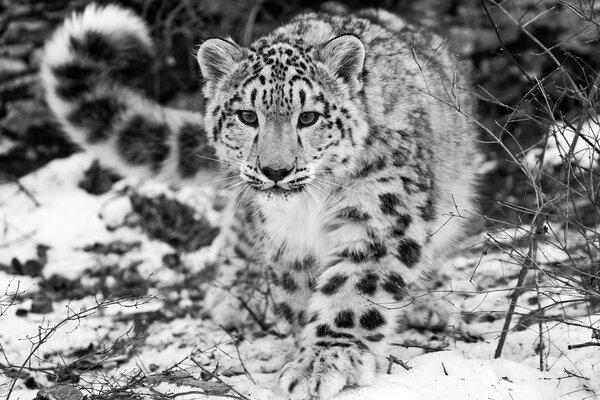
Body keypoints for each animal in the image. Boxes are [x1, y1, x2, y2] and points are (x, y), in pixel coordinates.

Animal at [41, 3, 478, 400]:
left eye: (309, 117)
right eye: (248, 116)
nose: (275, 170)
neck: (310, 209)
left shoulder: (378, 214)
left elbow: (355, 288)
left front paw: (325, 360)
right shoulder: (286, 239)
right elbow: (298, 296)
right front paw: (303, 351)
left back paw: (427, 306)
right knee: (237, 232)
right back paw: (232, 296)